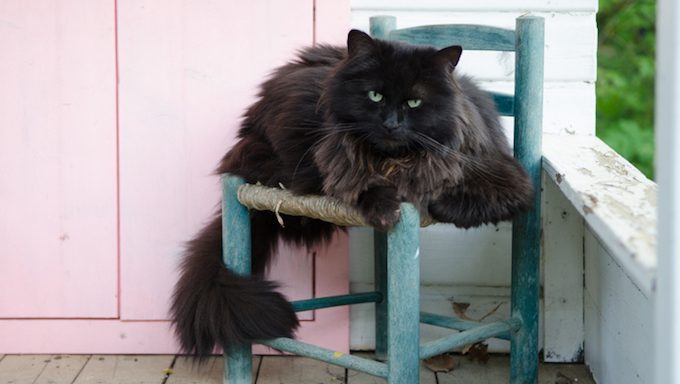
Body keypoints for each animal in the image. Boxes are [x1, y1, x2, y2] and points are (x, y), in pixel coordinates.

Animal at [169, 29, 532, 356]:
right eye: (375, 96)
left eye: (414, 102)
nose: (391, 124)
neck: (392, 161)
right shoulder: (335, 167)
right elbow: (361, 186)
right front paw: (385, 207)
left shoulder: (508, 180)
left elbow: (458, 198)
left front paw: (429, 200)